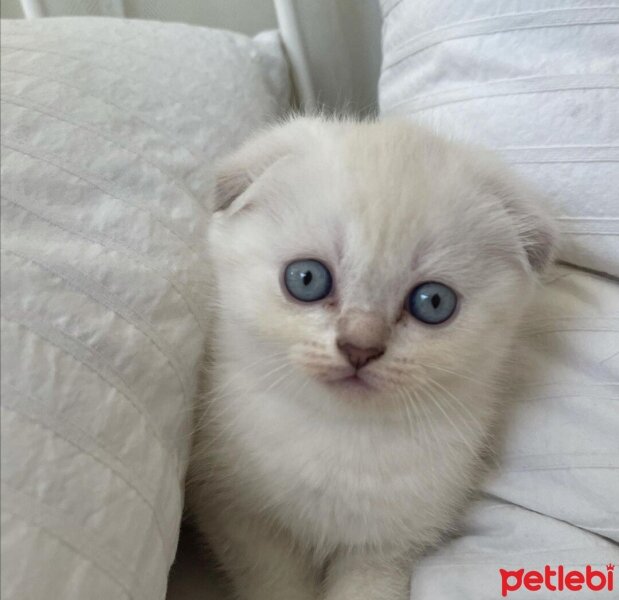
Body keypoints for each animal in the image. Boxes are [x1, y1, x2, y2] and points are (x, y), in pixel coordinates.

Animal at [188, 117, 556, 600]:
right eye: (306, 279)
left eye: (433, 303)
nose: (360, 346)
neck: (342, 436)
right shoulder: (240, 516)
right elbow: (277, 582)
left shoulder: (389, 546)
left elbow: (367, 588)